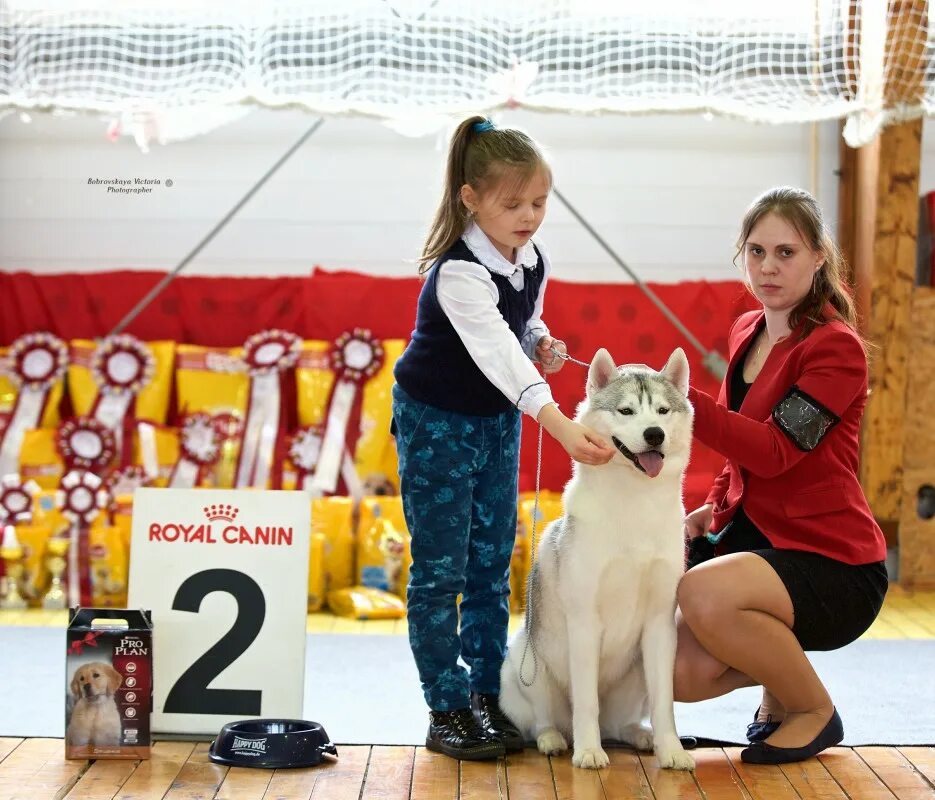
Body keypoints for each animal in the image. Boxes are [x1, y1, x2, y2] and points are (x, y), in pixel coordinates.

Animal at [504, 348, 696, 768]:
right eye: (626, 411)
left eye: (662, 411)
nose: (654, 434)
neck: (635, 501)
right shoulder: (584, 622)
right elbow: (586, 702)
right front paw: (589, 751)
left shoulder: (660, 625)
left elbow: (664, 705)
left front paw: (671, 750)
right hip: (525, 661)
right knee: (544, 720)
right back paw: (555, 739)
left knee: (619, 724)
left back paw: (640, 736)